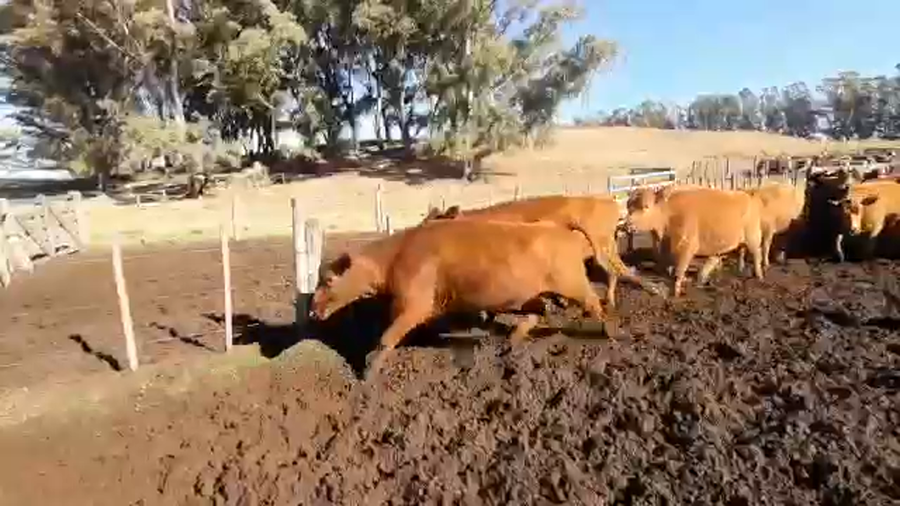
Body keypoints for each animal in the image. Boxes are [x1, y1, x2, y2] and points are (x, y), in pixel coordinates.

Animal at [311, 219, 612, 372]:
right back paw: (510, 343)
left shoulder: (414, 306)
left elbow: (387, 337)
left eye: (328, 280)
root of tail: (559, 228)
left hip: (573, 285)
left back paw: (611, 333)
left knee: (595, 302)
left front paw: (369, 370)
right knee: (537, 313)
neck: (397, 256)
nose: (313, 311)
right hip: (531, 295)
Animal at [625, 186, 765, 297]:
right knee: (729, 254)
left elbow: (679, 270)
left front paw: (676, 292)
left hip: (753, 238)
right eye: (629, 207)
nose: (627, 224)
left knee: (757, 254)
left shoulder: (687, 247)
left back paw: (759, 276)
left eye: (646, 206)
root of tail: (747, 195)